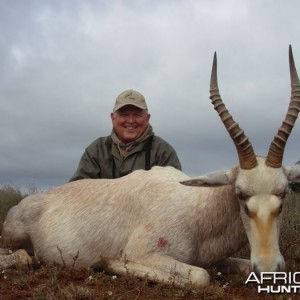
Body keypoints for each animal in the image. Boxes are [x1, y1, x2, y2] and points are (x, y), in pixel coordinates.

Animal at [0, 45, 300, 288]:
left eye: (284, 192)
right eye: (240, 194)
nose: (268, 267)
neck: (197, 209)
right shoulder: (145, 254)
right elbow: (201, 276)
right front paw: (108, 263)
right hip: (13, 239)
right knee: (23, 256)